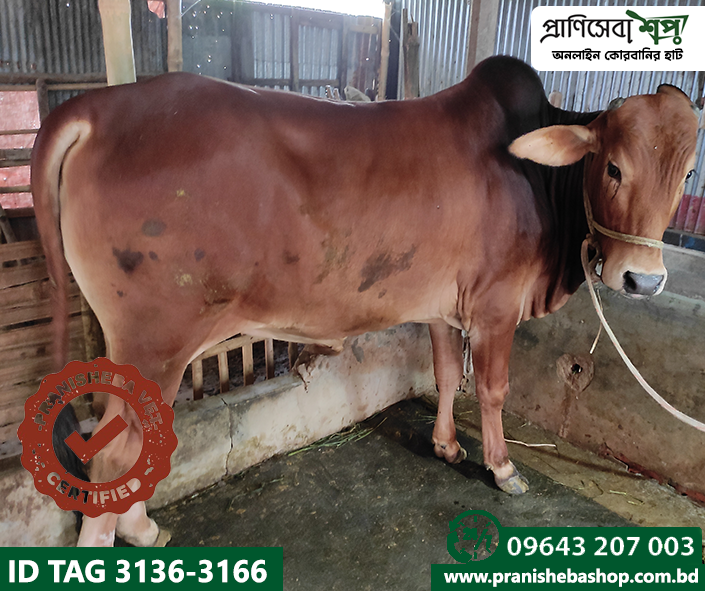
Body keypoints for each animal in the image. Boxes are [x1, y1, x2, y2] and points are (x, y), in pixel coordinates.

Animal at [31, 56, 699, 547]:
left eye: (688, 173)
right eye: (612, 167)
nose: (642, 280)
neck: (537, 180)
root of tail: (97, 106)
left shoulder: (440, 307)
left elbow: (445, 375)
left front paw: (447, 446)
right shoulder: (495, 308)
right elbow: (491, 389)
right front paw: (503, 468)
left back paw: (144, 530)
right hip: (155, 340)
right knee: (112, 454)